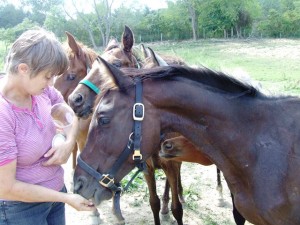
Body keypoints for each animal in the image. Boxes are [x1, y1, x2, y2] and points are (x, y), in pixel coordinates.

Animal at [67, 27, 185, 224]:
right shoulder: (147, 169)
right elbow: (154, 202)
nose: (75, 100)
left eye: (116, 64)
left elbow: (177, 207)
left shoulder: (172, 166)